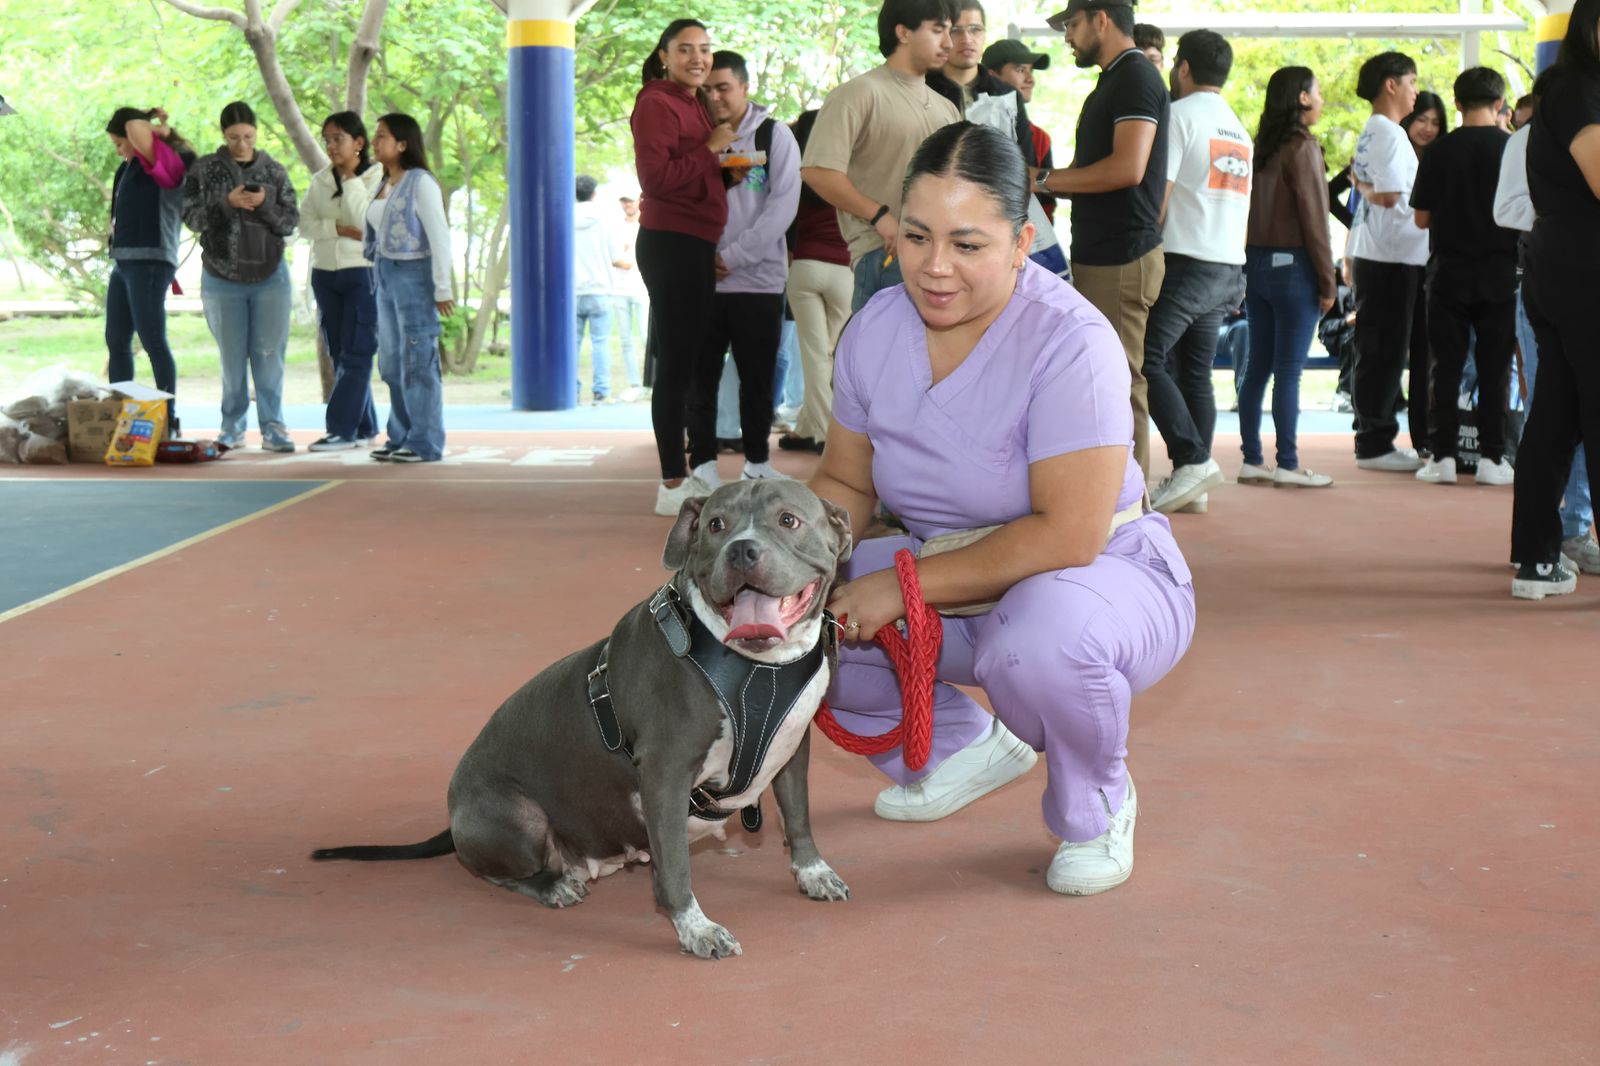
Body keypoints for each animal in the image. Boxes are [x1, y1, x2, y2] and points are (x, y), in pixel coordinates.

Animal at [313, 478, 854, 959]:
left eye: (788, 520)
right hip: (518, 816)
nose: (741, 550)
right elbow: (676, 867)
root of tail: (454, 815)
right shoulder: (666, 772)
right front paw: (696, 929)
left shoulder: (792, 751)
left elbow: (799, 817)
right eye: (716, 525)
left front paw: (812, 872)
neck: (757, 666)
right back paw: (554, 884)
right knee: (497, 871)